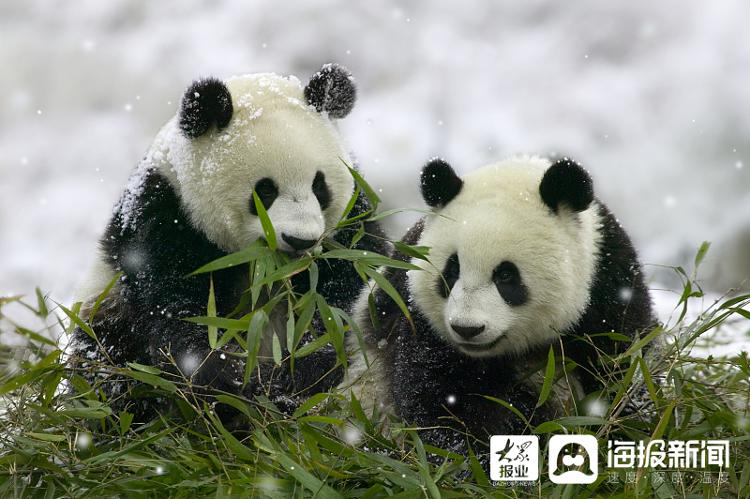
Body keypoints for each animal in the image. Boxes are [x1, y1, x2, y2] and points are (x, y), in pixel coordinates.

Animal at [70, 64, 388, 420]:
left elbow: (344, 296)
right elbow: (179, 312)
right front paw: (235, 383)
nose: (300, 240)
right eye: (265, 191)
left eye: (320, 186)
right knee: (106, 371)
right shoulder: (164, 218)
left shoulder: (350, 225)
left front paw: (295, 377)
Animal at [342, 156, 656, 458]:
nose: (467, 329)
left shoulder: (608, 285)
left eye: (506, 275)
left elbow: (621, 369)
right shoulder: (418, 316)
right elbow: (441, 399)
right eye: (451, 270)